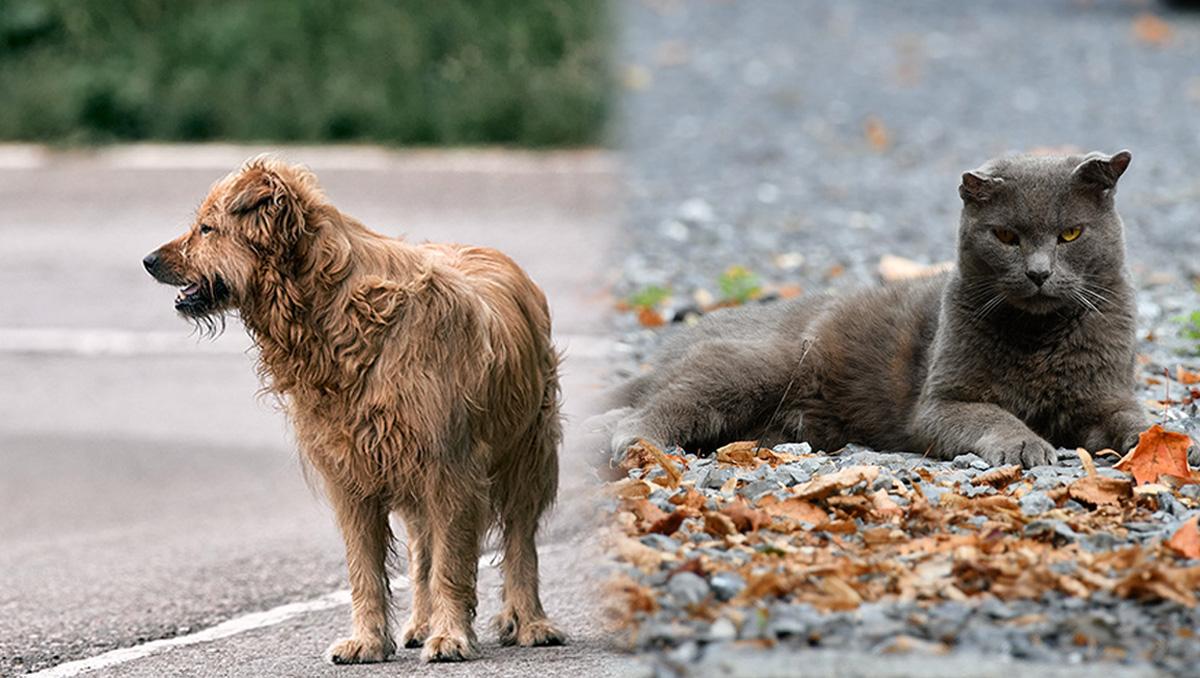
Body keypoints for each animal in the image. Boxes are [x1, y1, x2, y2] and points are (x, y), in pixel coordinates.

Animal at [142, 157, 564, 662]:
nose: (148, 261)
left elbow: (452, 564)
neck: (336, 312)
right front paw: (369, 640)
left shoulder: (451, 468)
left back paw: (531, 622)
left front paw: (451, 636)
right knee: (423, 547)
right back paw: (421, 623)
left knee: (520, 540)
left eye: (207, 228)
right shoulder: (353, 472)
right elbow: (366, 569)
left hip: (529, 453)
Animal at [614, 148, 1147, 468]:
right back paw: (634, 440)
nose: (1038, 272)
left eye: (1071, 234)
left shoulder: (1104, 395)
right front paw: (1026, 444)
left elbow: (1134, 418)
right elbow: (992, 416)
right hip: (760, 364)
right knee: (662, 403)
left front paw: (1158, 443)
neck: (1038, 341)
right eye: (1006, 236)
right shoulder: (939, 406)